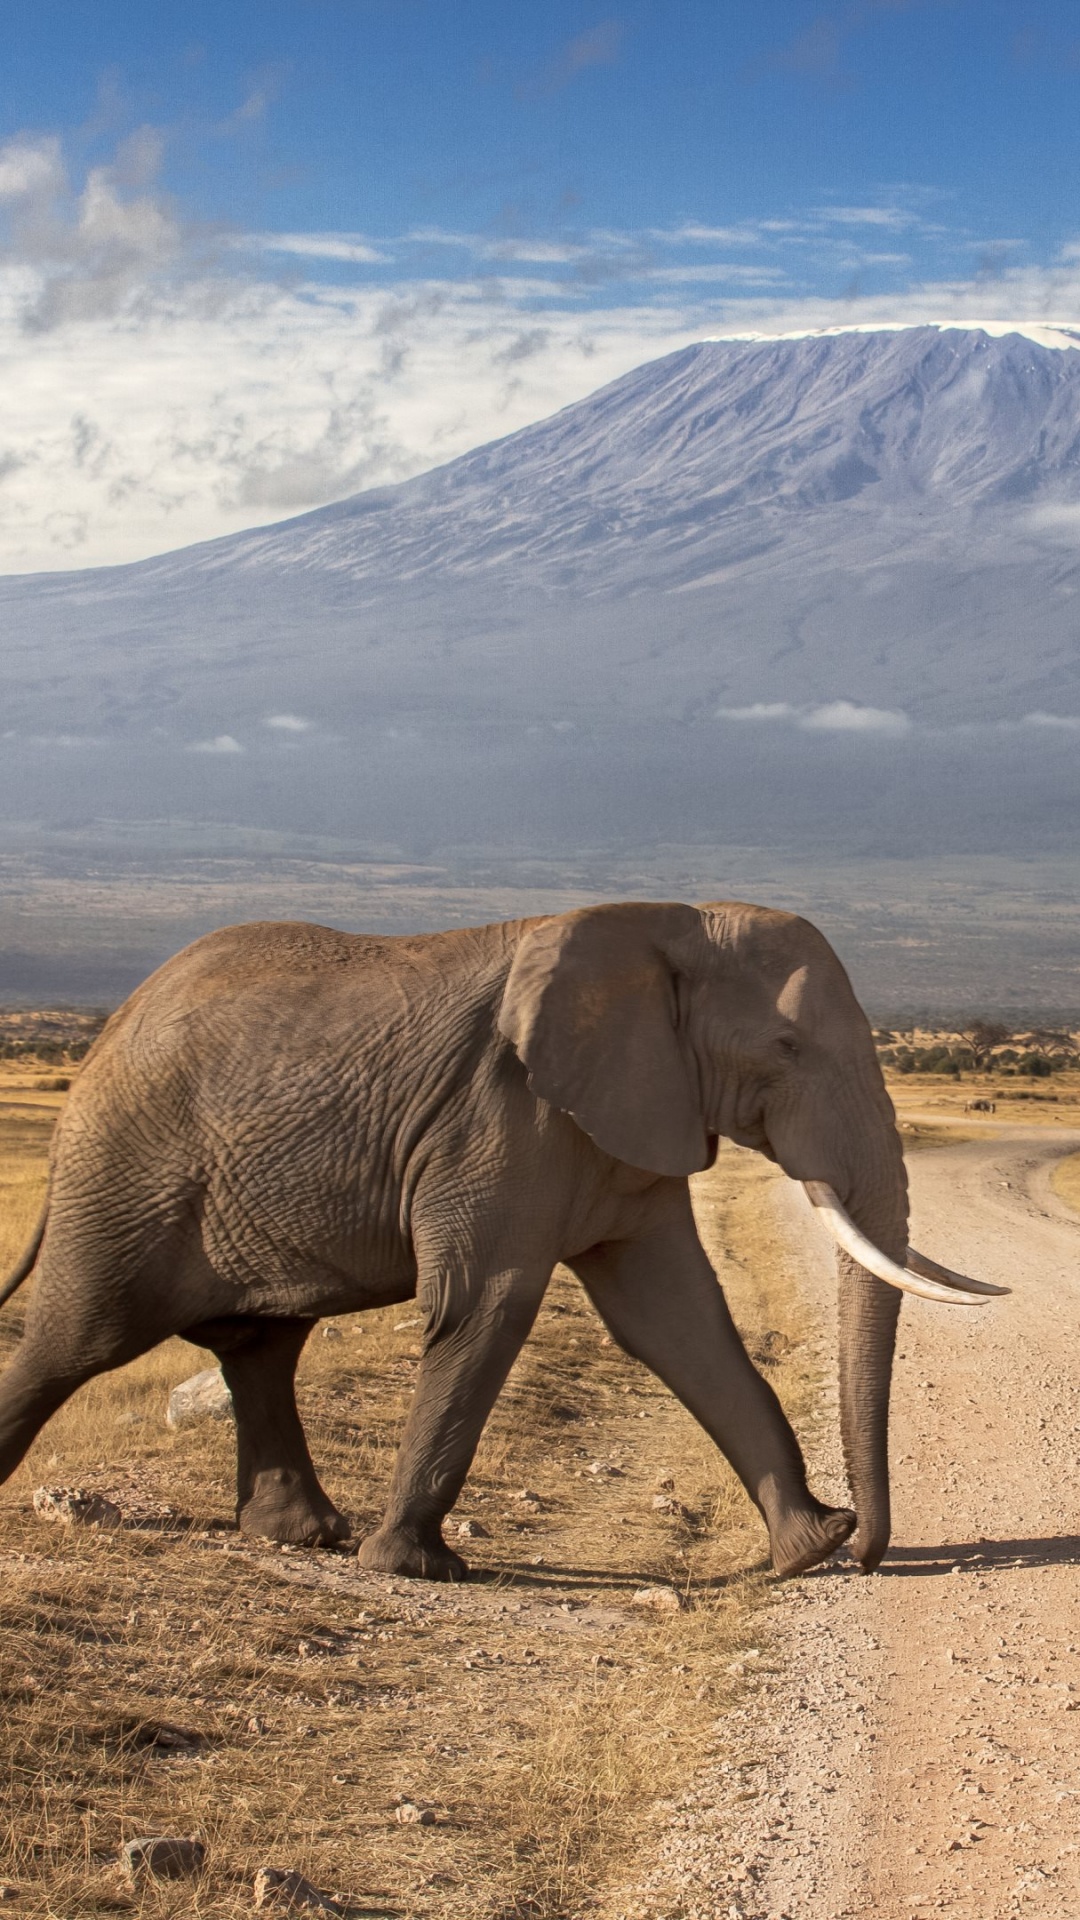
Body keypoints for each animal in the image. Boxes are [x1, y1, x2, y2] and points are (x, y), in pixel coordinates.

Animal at [0, 900, 1000, 1579]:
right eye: (788, 1048)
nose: (868, 1548)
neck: (666, 922)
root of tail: (106, 1037)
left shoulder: (627, 1115)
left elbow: (678, 1321)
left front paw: (806, 1547)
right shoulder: (499, 1116)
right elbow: (488, 1303)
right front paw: (414, 1569)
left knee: (261, 1348)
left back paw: (301, 1536)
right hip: (124, 1176)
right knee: (75, 1339)